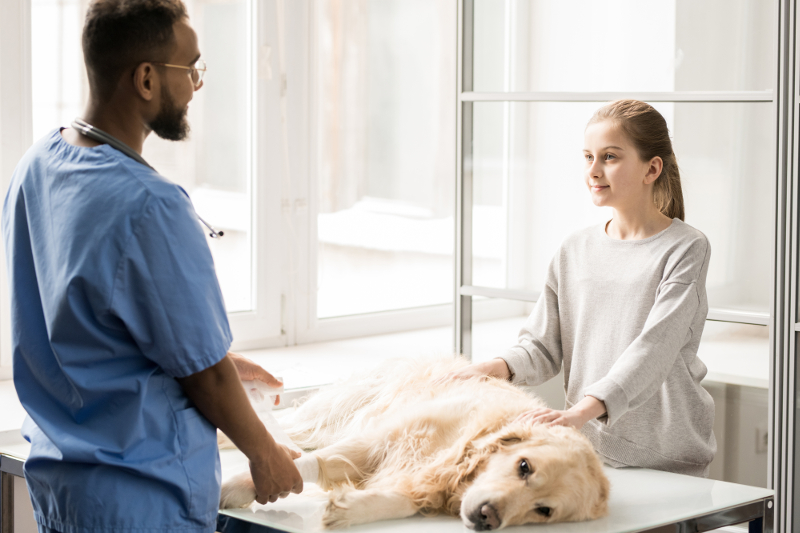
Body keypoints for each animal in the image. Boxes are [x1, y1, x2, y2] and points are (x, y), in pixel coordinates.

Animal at [219, 358, 608, 528]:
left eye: (544, 510)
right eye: (524, 466)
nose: (488, 517)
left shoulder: (427, 482)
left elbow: (404, 499)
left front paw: (349, 508)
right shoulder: (377, 438)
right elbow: (305, 464)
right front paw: (234, 488)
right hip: (328, 417)